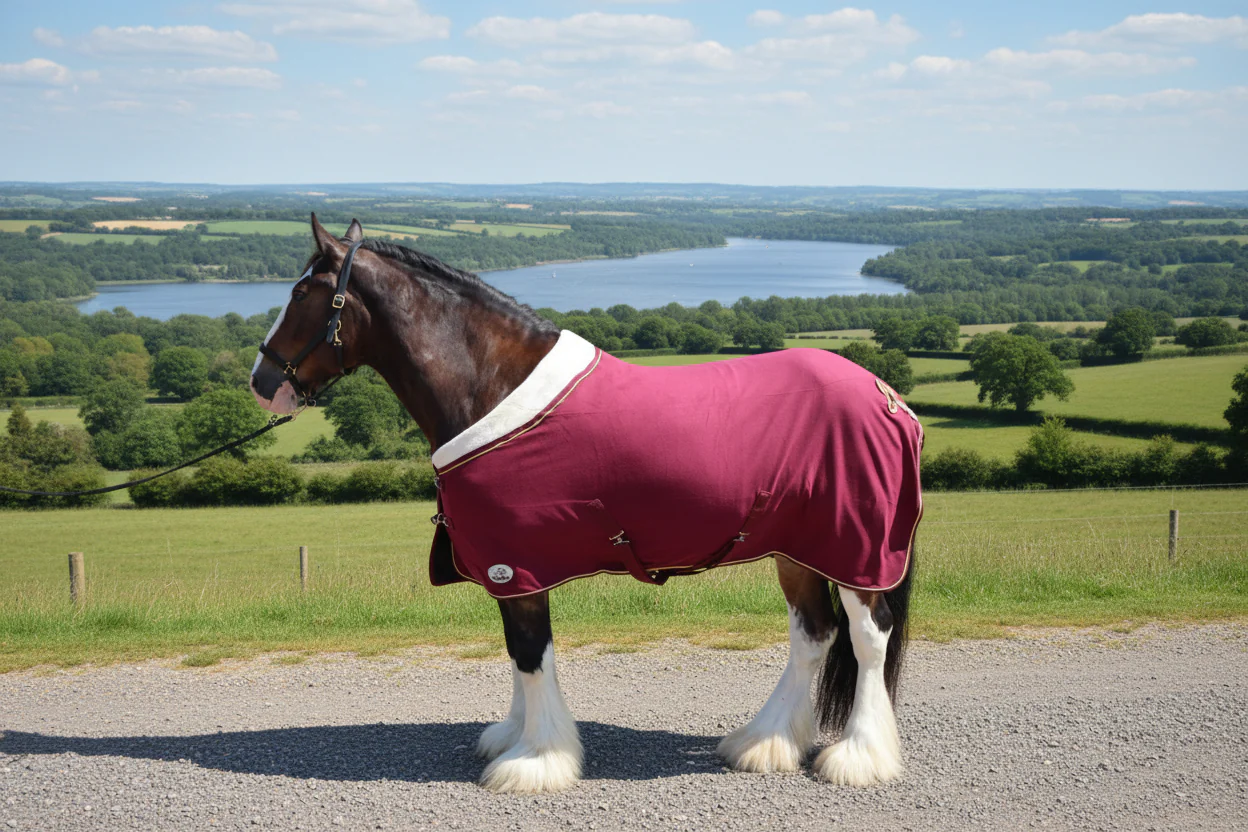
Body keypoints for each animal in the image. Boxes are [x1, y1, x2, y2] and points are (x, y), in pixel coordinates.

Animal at [250, 215, 921, 795]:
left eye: (304, 292)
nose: (262, 382)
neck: (493, 384)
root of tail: (888, 397)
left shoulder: (516, 564)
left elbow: (530, 654)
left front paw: (536, 760)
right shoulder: (511, 569)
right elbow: (518, 653)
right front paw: (514, 737)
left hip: (855, 549)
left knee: (867, 636)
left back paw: (858, 756)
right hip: (797, 549)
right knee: (814, 634)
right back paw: (764, 743)